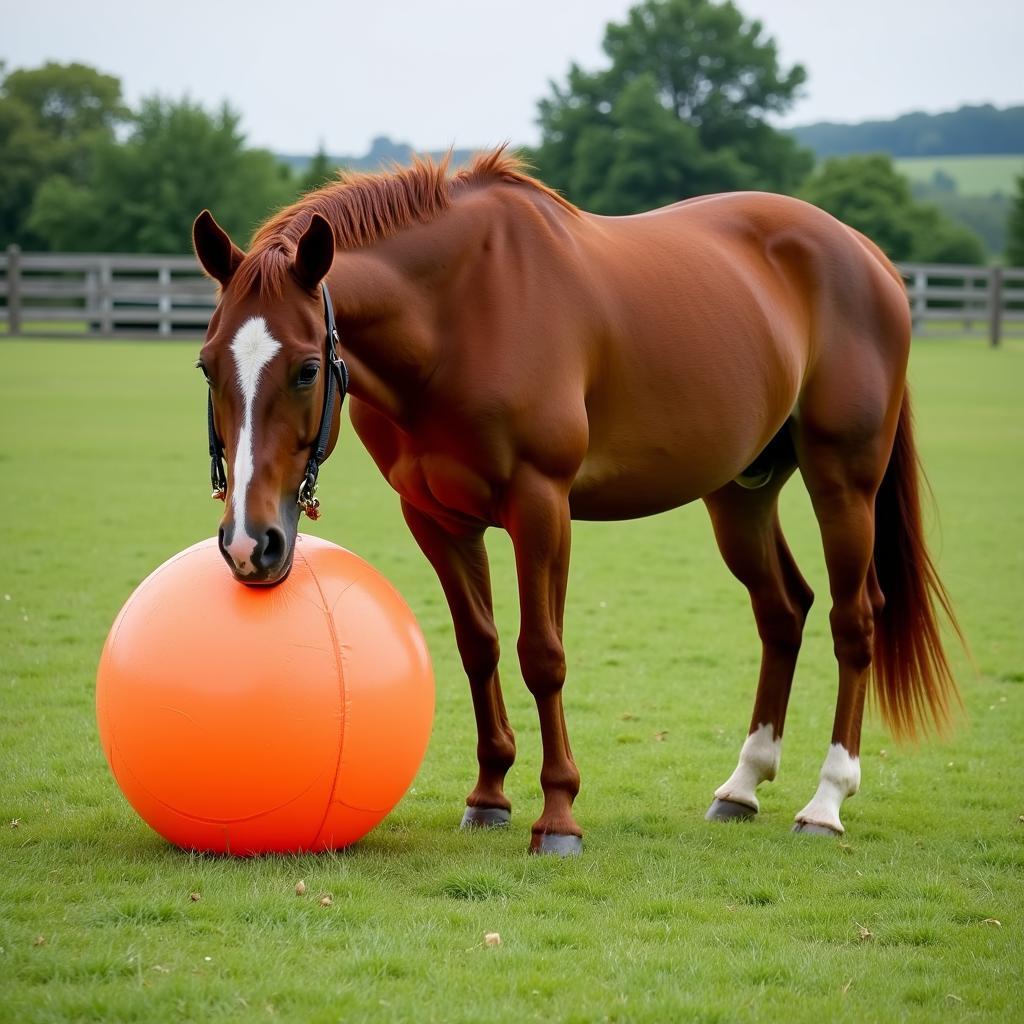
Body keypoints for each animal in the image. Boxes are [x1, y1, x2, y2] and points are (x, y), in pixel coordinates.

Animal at [190, 148, 958, 856]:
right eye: (206, 364)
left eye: (306, 369)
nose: (250, 544)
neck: (460, 312)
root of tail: (866, 254)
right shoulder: (436, 519)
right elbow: (478, 646)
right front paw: (489, 796)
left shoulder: (541, 506)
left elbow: (542, 654)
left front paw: (557, 816)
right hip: (741, 494)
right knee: (783, 611)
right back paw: (742, 787)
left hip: (843, 482)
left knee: (853, 620)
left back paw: (826, 802)